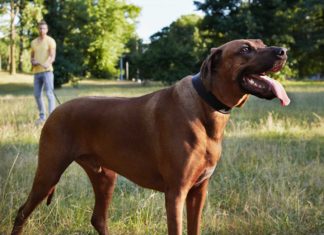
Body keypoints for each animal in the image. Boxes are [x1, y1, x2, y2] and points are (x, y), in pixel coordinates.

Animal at [12, 39, 288, 235]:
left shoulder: (199, 191)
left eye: (262, 42)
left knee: (98, 218)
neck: (205, 106)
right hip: (49, 171)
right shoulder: (176, 192)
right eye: (245, 49)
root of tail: (56, 110)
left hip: (105, 176)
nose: (283, 51)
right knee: (22, 212)